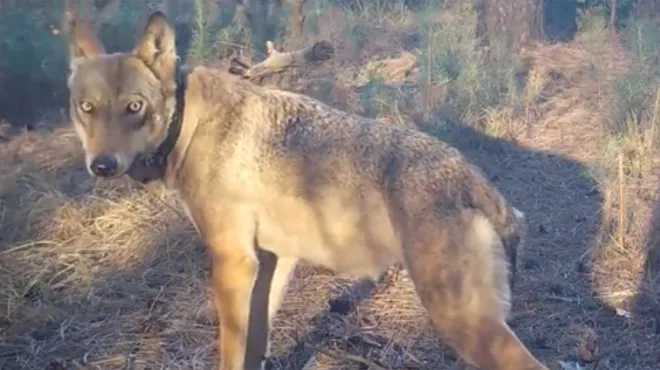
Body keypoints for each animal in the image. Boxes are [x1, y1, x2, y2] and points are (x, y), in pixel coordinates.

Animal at [64, 8, 548, 370]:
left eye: (134, 107)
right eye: (86, 108)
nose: (101, 166)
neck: (190, 123)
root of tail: (473, 177)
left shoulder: (232, 261)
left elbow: (230, 352)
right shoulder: (272, 261)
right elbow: (255, 348)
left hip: (461, 322)